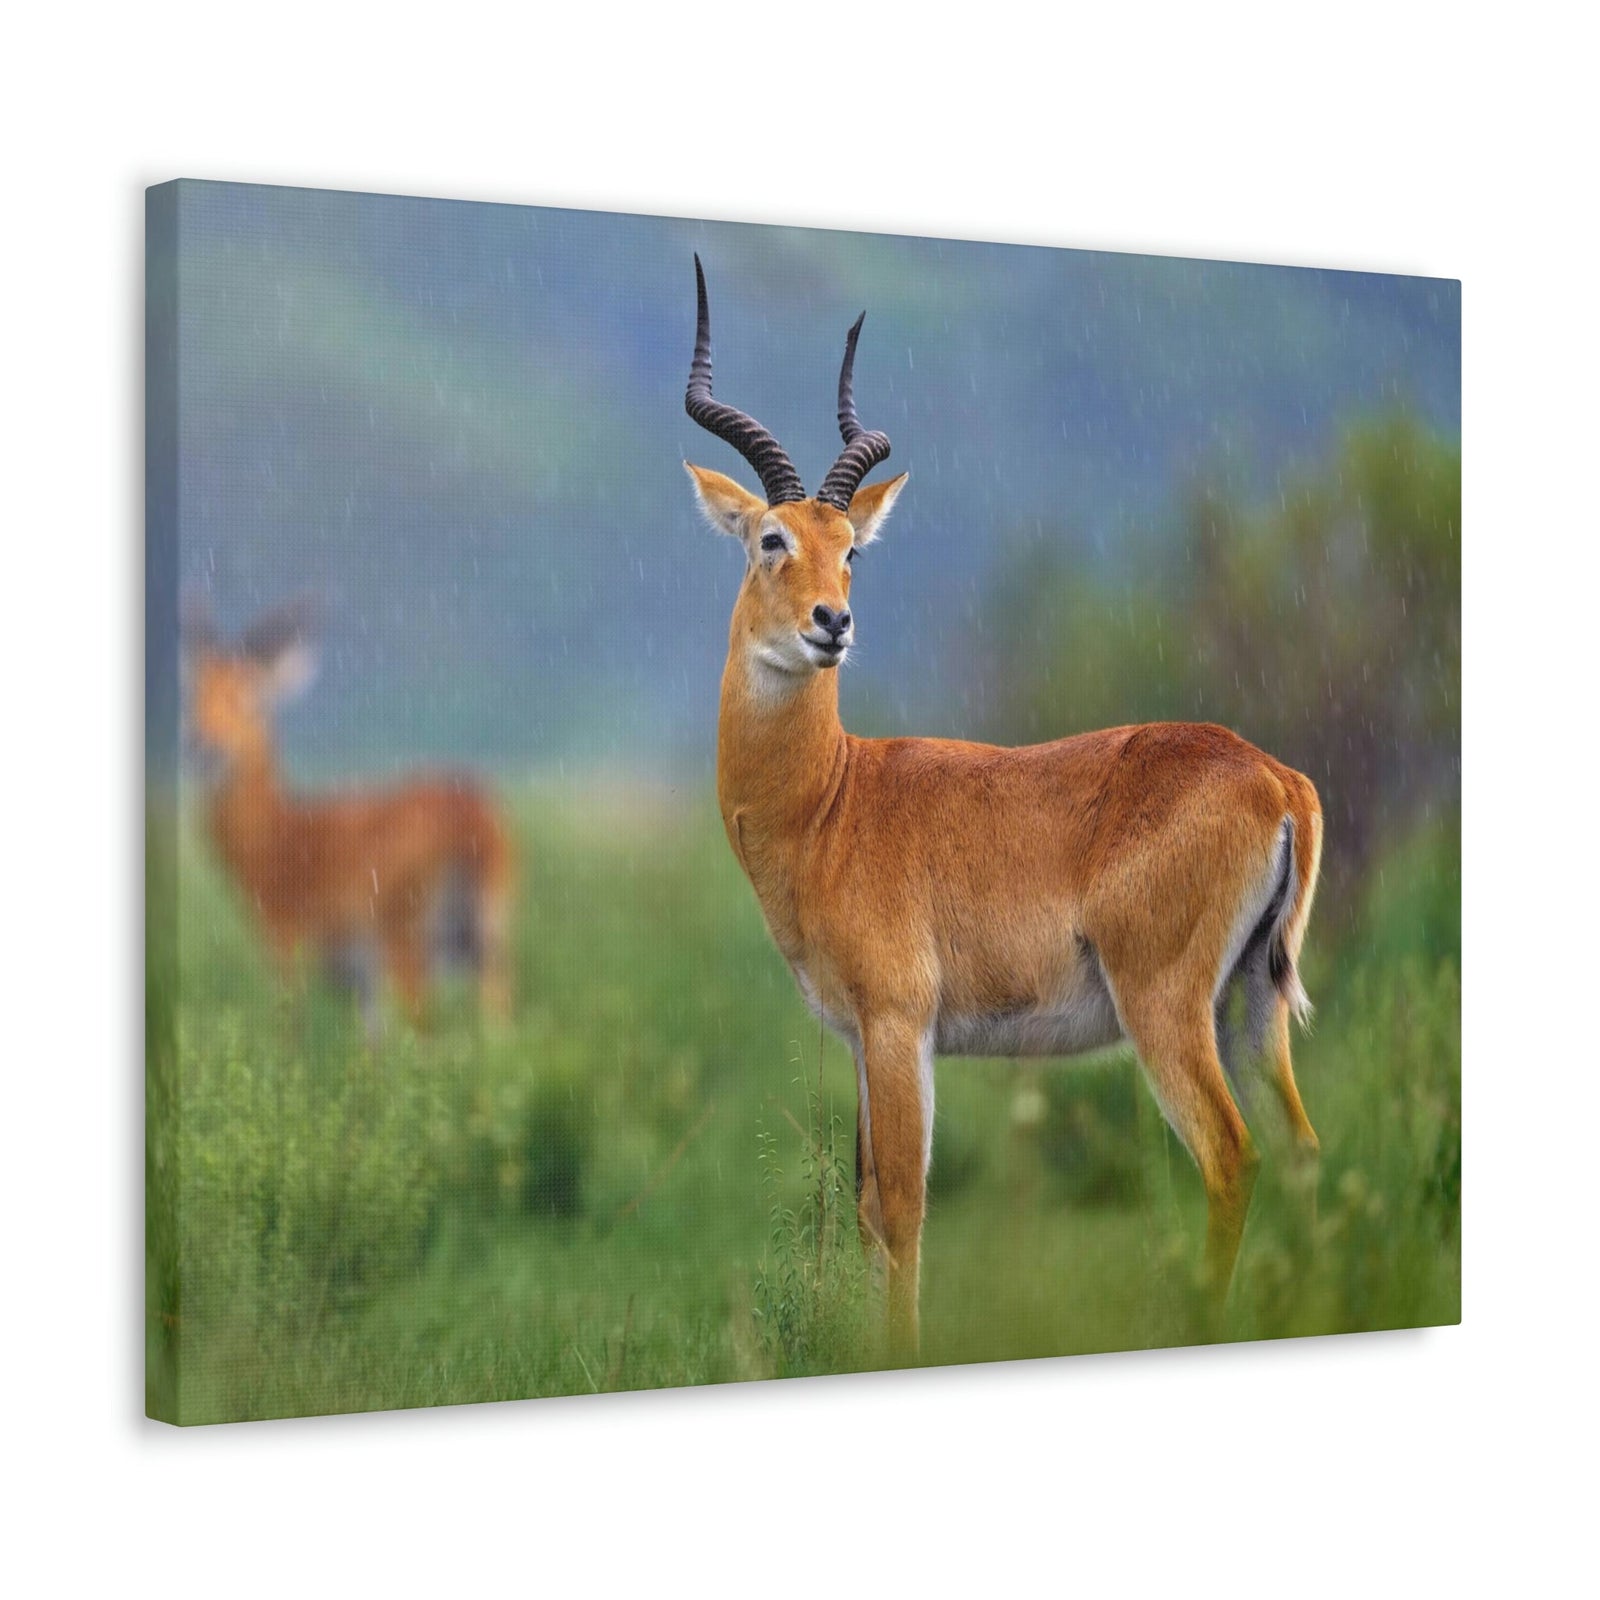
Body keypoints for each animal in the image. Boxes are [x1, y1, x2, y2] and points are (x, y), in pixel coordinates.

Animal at [185, 602, 516, 1031]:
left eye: (250, 696)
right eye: (192, 693)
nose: (202, 744)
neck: (279, 835)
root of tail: (470, 813)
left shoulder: (287, 944)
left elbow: (290, 1029)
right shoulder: (364, 984)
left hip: (409, 943)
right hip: (486, 938)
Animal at [683, 257, 1323, 1354]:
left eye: (850, 548)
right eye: (771, 539)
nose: (831, 624)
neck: (831, 802)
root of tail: (1274, 777)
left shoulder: (900, 1022)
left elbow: (900, 1204)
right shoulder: (863, 1037)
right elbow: (867, 1205)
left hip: (1166, 1006)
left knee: (1231, 1155)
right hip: (1253, 999)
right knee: (1306, 1152)